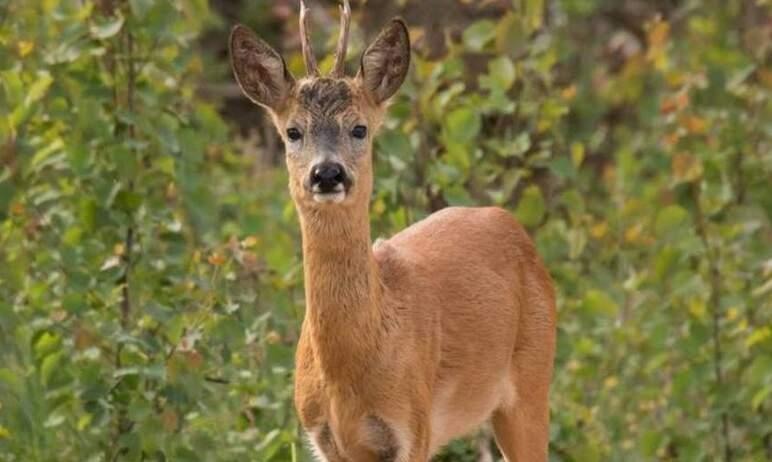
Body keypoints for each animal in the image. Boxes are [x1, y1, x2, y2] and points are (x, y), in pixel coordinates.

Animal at [228, 1, 556, 460]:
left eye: (359, 128)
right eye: (293, 131)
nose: (327, 173)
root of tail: (508, 223)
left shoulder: (412, 428)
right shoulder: (323, 438)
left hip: (532, 379)